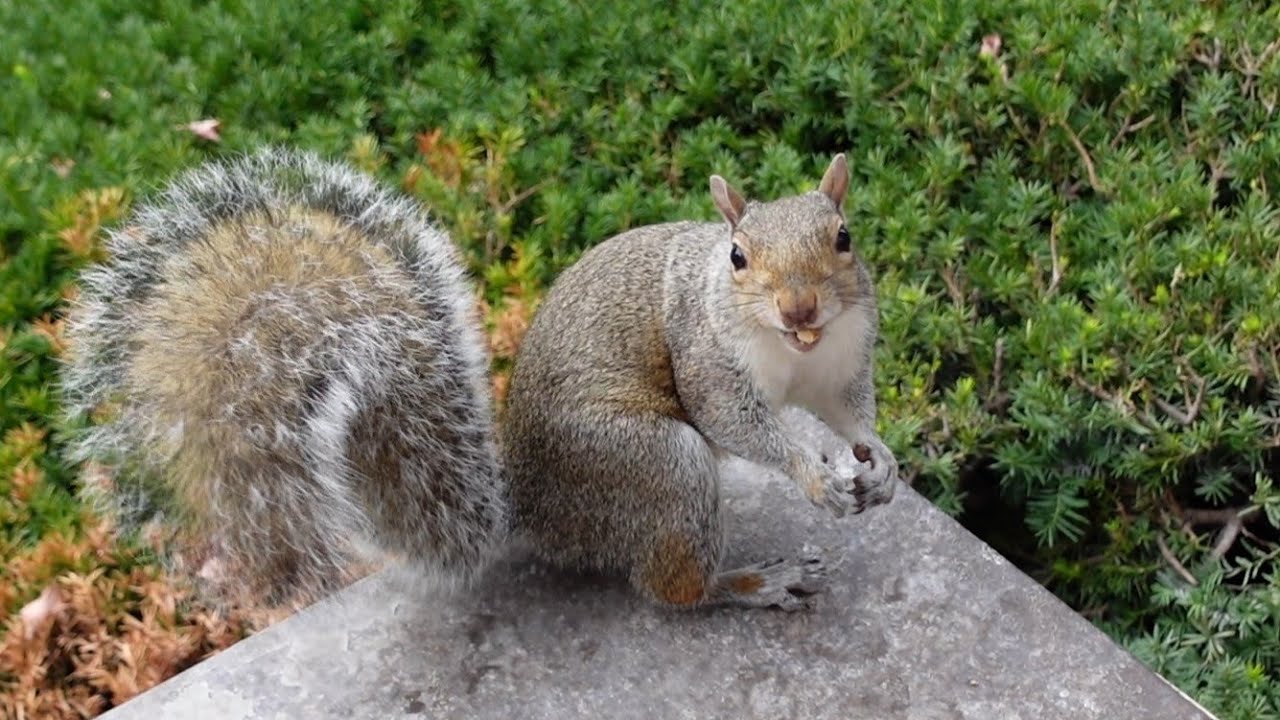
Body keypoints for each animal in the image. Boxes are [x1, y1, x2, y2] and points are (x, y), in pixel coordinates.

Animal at [61, 148, 897, 611]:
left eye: (845, 237)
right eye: (737, 256)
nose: (799, 307)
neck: (794, 350)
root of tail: (532, 511)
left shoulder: (840, 362)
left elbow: (846, 411)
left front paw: (878, 459)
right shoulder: (705, 355)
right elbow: (737, 421)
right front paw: (812, 473)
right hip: (653, 463)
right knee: (670, 588)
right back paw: (752, 585)